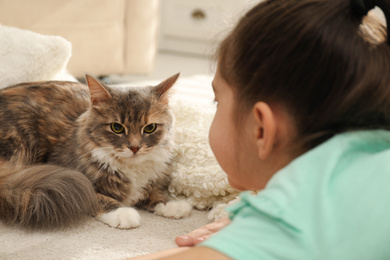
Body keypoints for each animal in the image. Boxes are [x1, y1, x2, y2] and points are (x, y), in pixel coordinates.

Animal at [0, 73, 190, 230]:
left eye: (150, 128)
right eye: (117, 127)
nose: (135, 147)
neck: (132, 169)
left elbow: (154, 192)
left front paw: (171, 205)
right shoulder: (74, 176)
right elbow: (98, 197)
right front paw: (122, 213)